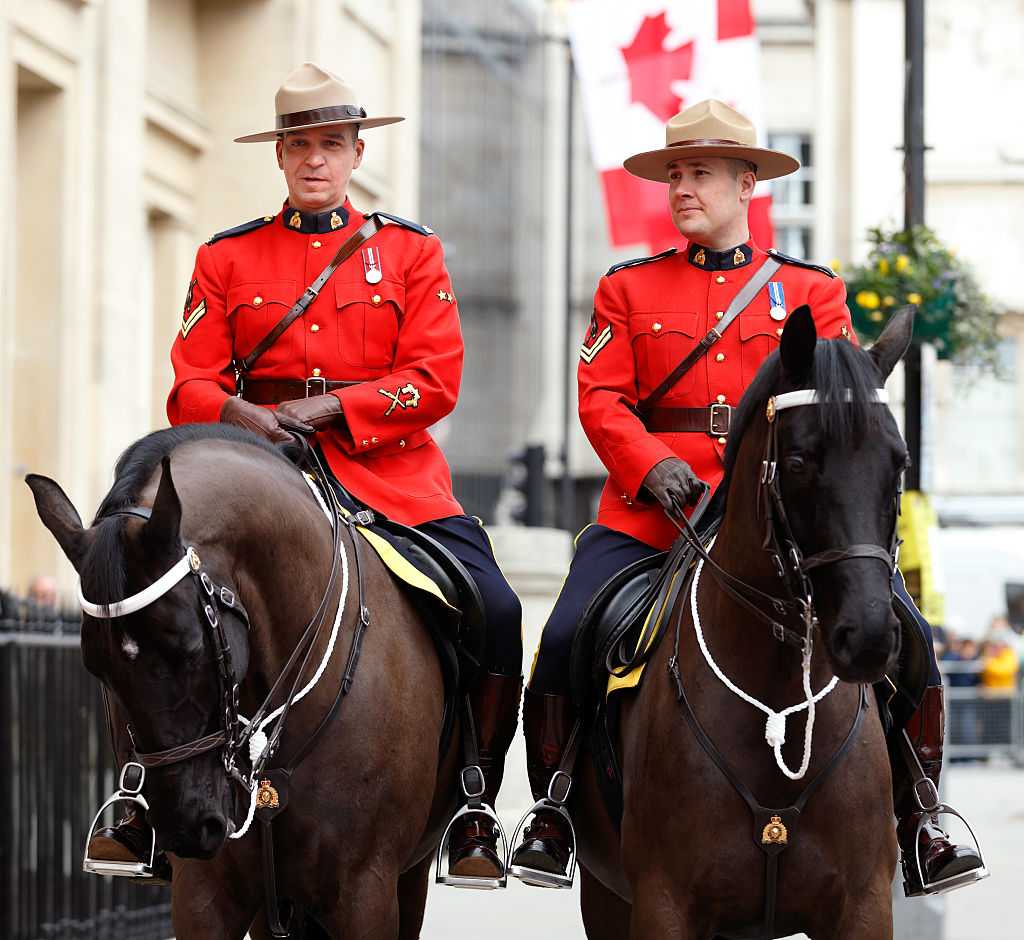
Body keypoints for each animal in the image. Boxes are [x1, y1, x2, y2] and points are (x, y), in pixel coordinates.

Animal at [573, 305, 917, 937]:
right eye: (800, 461)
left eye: (899, 462)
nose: (869, 637)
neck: (776, 691)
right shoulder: (662, 904)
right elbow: (604, 395)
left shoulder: (863, 905)